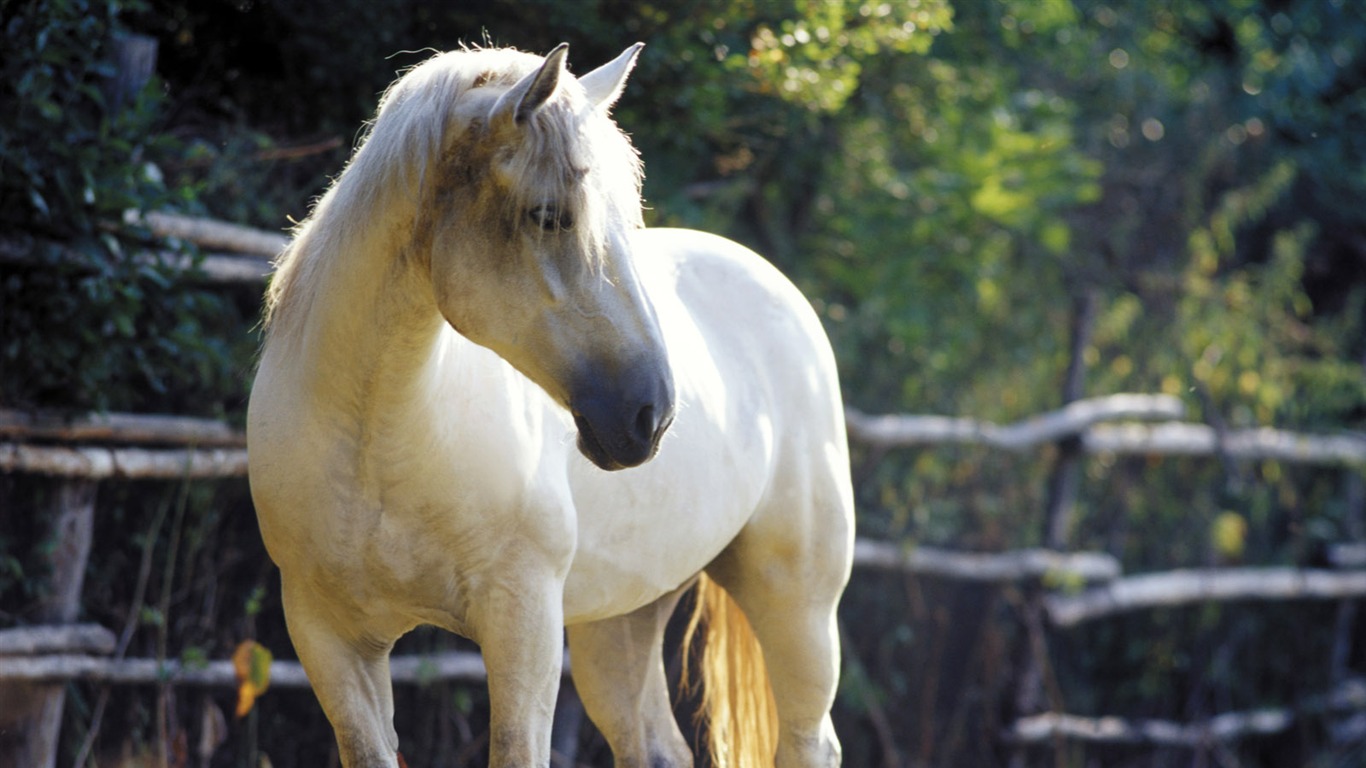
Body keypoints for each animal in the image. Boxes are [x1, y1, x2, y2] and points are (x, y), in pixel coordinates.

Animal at [248, 43, 852, 765]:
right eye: (547, 215)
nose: (650, 415)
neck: (376, 441)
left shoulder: (524, 620)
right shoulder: (329, 637)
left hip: (798, 607)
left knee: (810, 740)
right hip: (623, 618)